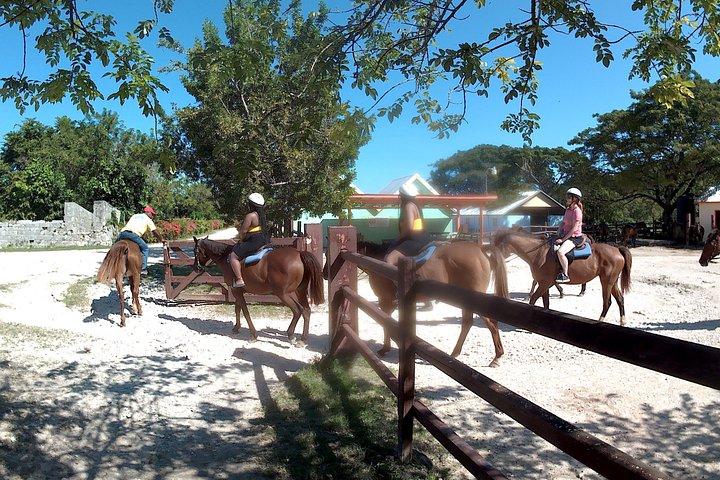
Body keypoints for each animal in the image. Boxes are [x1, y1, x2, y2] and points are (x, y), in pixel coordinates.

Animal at [193, 237, 324, 345]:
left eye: (195, 251)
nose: (196, 267)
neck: (226, 258)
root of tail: (299, 254)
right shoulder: (238, 291)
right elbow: (237, 309)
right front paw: (236, 327)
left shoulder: (236, 291)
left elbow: (245, 311)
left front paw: (253, 335)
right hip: (299, 291)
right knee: (306, 310)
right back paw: (303, 339)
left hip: (283, 294)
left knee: (297, 310)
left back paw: (291, 335)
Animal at [343, 240, 509, 367]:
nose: (327, 272)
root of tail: (480, 248)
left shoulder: (385, 301)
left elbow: (385, 324)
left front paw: (385, 348)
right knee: (468, 323)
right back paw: (456, 353)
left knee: (490, 323)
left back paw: (497, 357)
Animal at [493, 229, 632, 325]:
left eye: (499, 246)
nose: (493, 260)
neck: (538, 253)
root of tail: (617, 249)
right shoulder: (545, 284)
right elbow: (546, 303)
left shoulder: (544, 284)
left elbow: (532, 300)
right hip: (613, 282)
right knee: (620, 299)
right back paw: (622, 321)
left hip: (606, 282)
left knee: (607, 302)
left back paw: (600, 320)